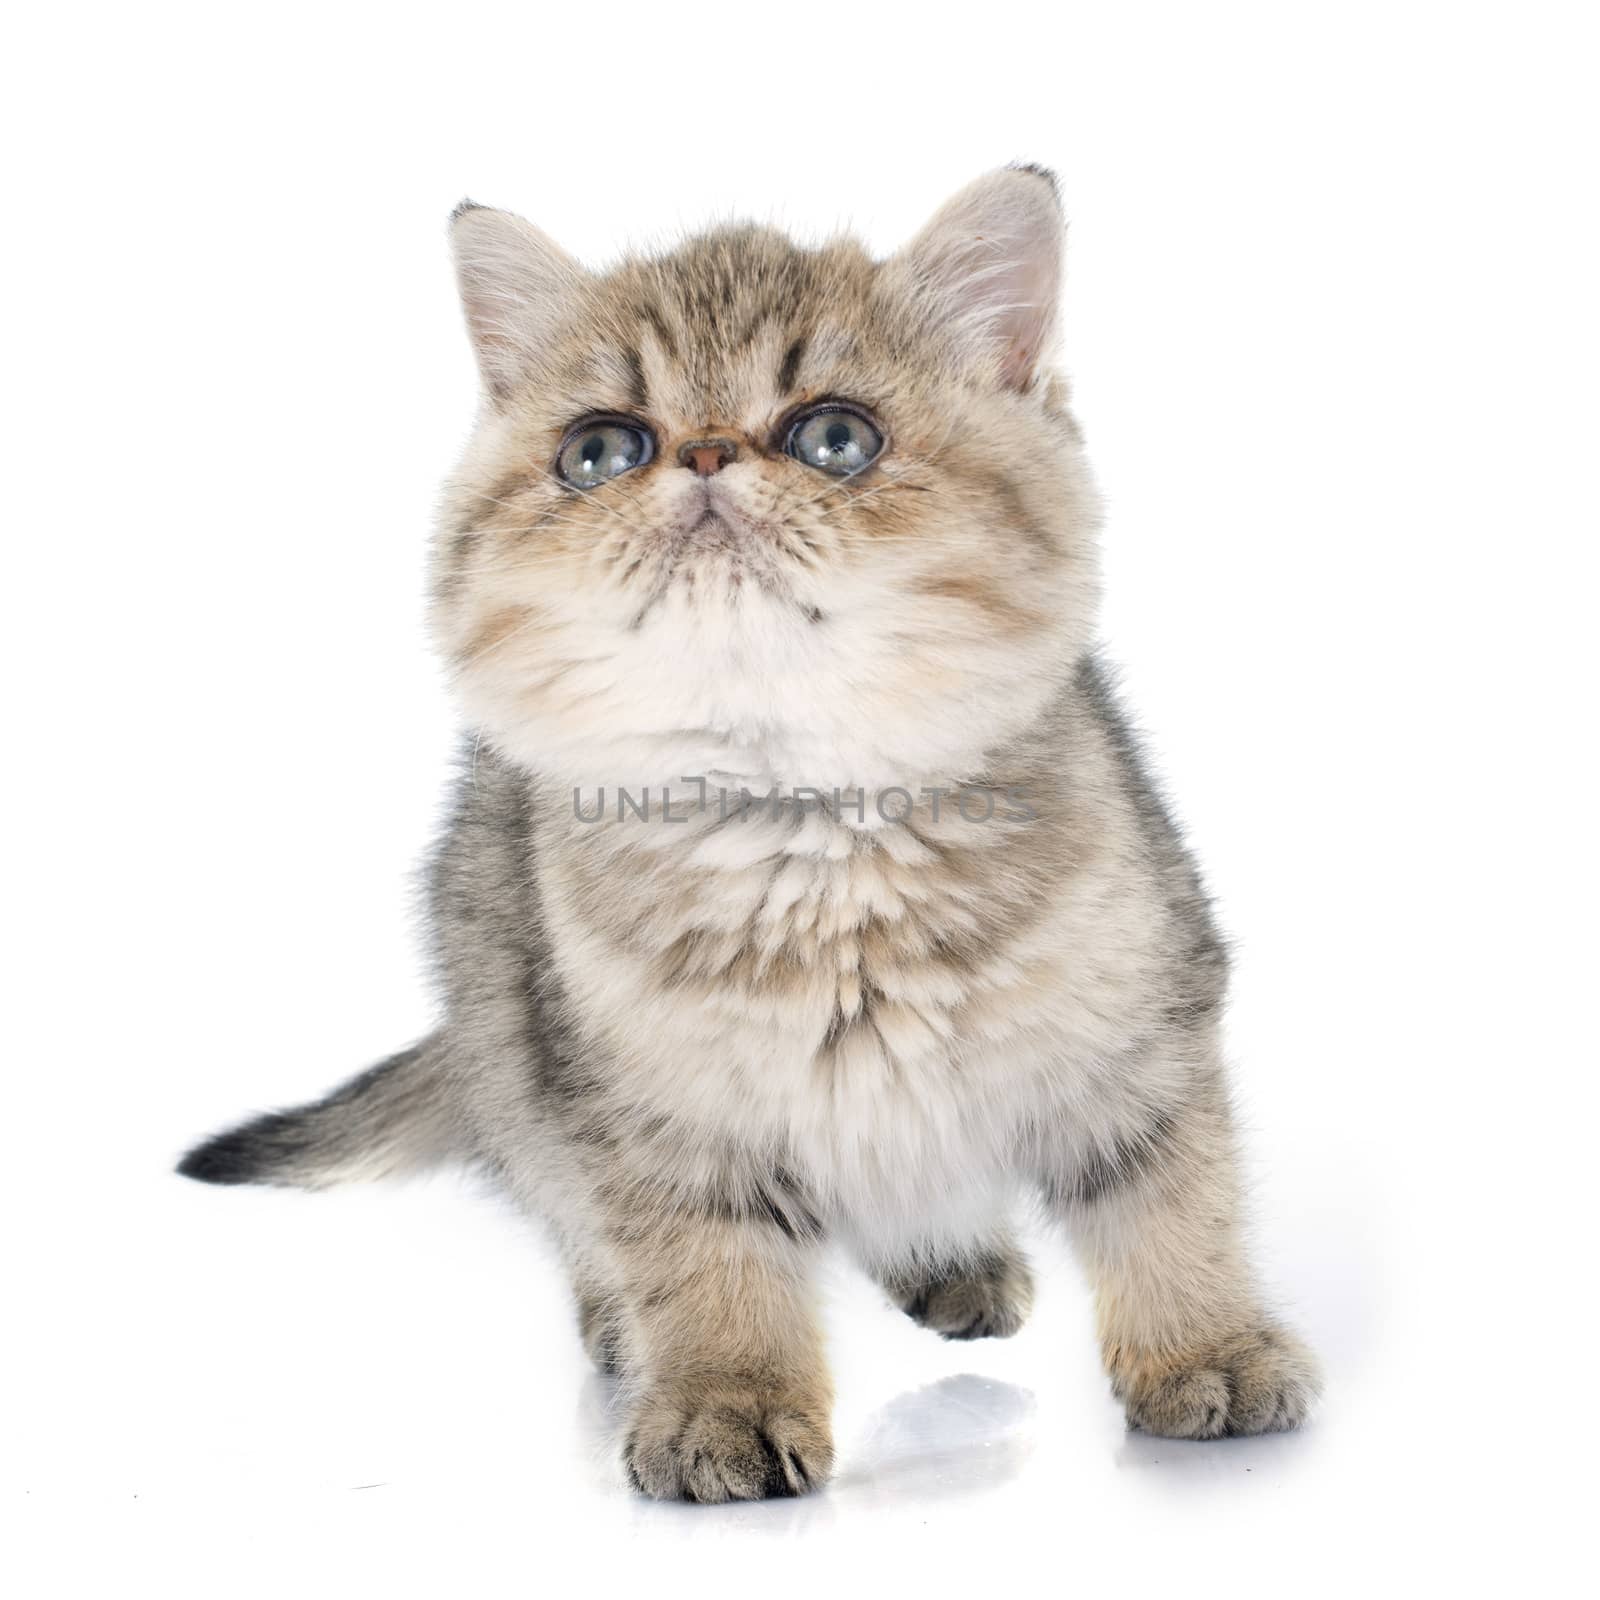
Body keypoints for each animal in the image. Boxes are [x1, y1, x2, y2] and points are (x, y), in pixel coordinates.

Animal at [181, 165, 1318, 1497]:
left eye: (835, 437)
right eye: (600, 449)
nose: (708, 453)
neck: (810, 837)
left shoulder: (1144, 1021)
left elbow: (1171, 1195)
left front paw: (1207, 1345)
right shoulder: (637, 1108)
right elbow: (702, 1259)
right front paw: (720, 1400)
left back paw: (956, 1264)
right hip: (507, 1040)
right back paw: (621, 1325)